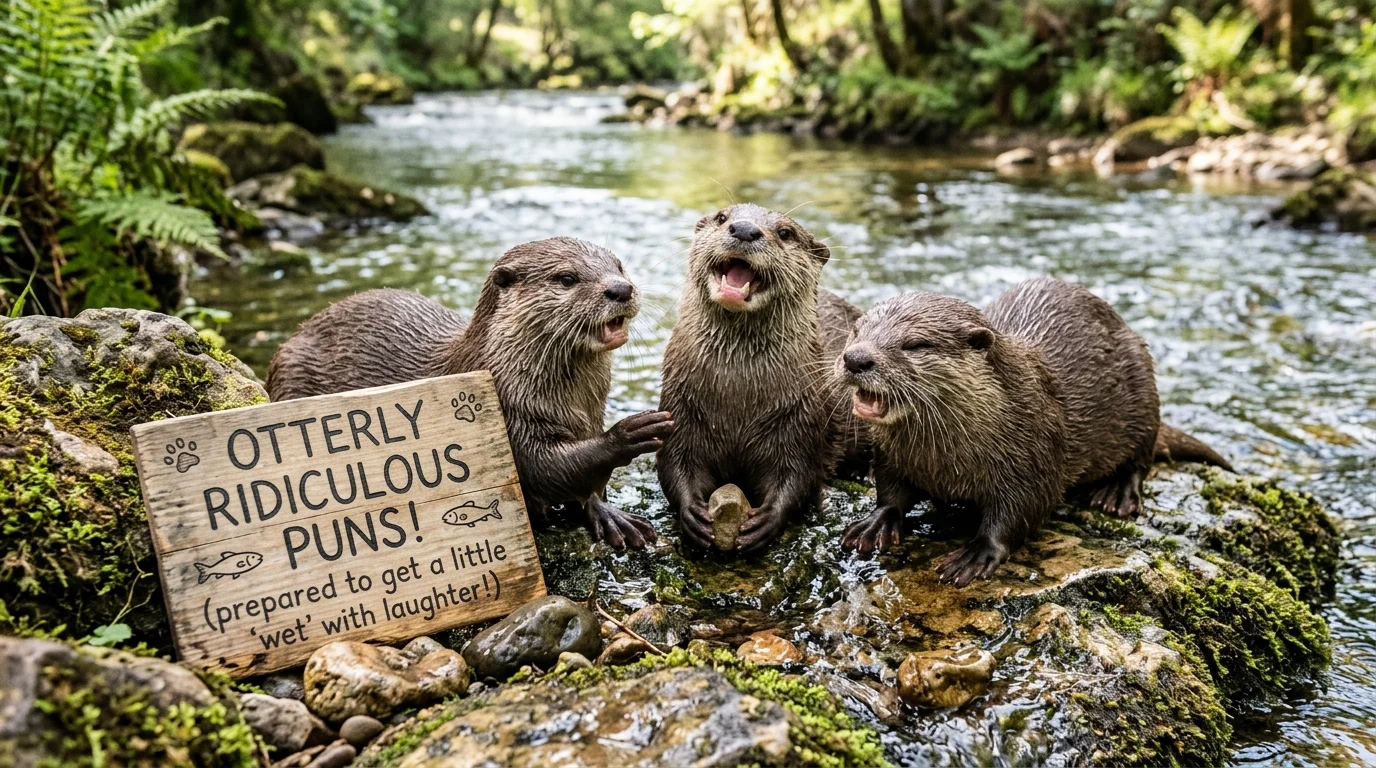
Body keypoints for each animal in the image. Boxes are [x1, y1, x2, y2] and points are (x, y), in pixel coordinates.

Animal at [267, 237, 673, 549]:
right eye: (567, 278)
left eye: (619, 266)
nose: (620, 288)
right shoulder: (509, 417)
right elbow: (547, 468)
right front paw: (628, 433)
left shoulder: (590, 414)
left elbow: (588, 487)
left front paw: (611, 516)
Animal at [657, 204, 867, 551]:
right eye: (722, 217)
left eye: (785, 233)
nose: (744, 229)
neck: (737, 400)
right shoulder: (681, 409)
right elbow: (674, 463)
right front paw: (692, 514)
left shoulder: (801, 420)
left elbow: (798, 475)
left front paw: (767, 520)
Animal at [836, 278, 1233, 585]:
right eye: (857, 331)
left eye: (915, 344)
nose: (855, 358)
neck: (945, 461)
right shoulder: (890, 455)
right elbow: (891, 492)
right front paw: (875, 524)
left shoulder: (1035, 455)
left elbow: (1021, 511)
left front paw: (977, 553)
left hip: (1144, 389)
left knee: (1141, 457)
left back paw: (1117, 495)